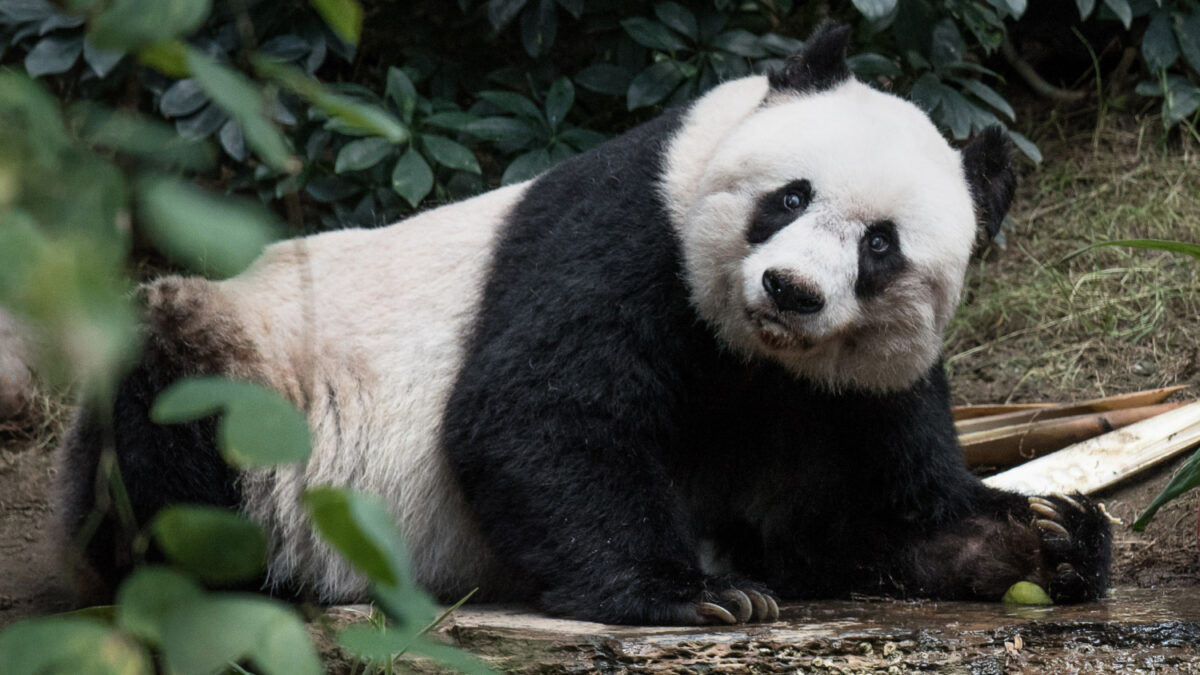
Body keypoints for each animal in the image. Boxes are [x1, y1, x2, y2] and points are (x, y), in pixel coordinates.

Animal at [60, 26, 1108, 624]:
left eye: (881, 246)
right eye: (789, 196)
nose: (792, 290)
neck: (755, 353)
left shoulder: (849, 384)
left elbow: (862, 507)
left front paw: (1048, 537)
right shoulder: (628, 236)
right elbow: (538, 412)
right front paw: (700, 593)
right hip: (247, 365)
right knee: (171, 413)